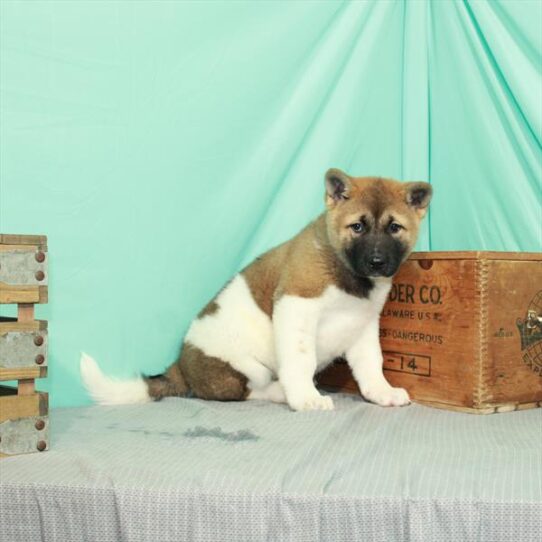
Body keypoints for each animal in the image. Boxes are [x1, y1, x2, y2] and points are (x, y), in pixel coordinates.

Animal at [82, 170, 434, 412]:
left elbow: (371, 363)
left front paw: (381, 391)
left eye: (394, 228)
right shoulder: (296, 306)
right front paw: (305, 398)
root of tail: (178, 367)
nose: (376, 262)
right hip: (245, 367)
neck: (346, 271)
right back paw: (280, 392)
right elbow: (301, 360)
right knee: (245, 392)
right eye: (357, 227)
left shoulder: (362, 325)